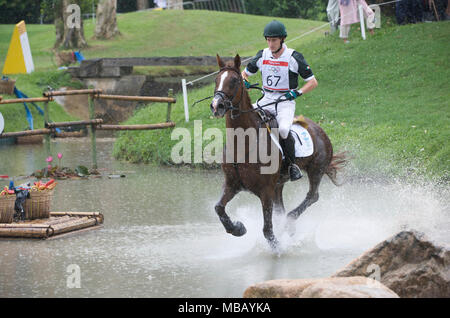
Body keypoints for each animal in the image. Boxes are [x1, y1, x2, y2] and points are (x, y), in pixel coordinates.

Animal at [210, 53, 344, 250]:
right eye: (216, 80)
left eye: (234, 80)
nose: (216, 106)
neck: (243, 142)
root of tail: (319, 129)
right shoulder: (232, 184)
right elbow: (219, 207)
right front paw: (237, 228)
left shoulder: (265, 190)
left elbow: (267, 229)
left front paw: (278, 248)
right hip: (279, 184)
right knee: (283, 207)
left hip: (316, 170)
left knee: (312, 196)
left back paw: (289, 223)